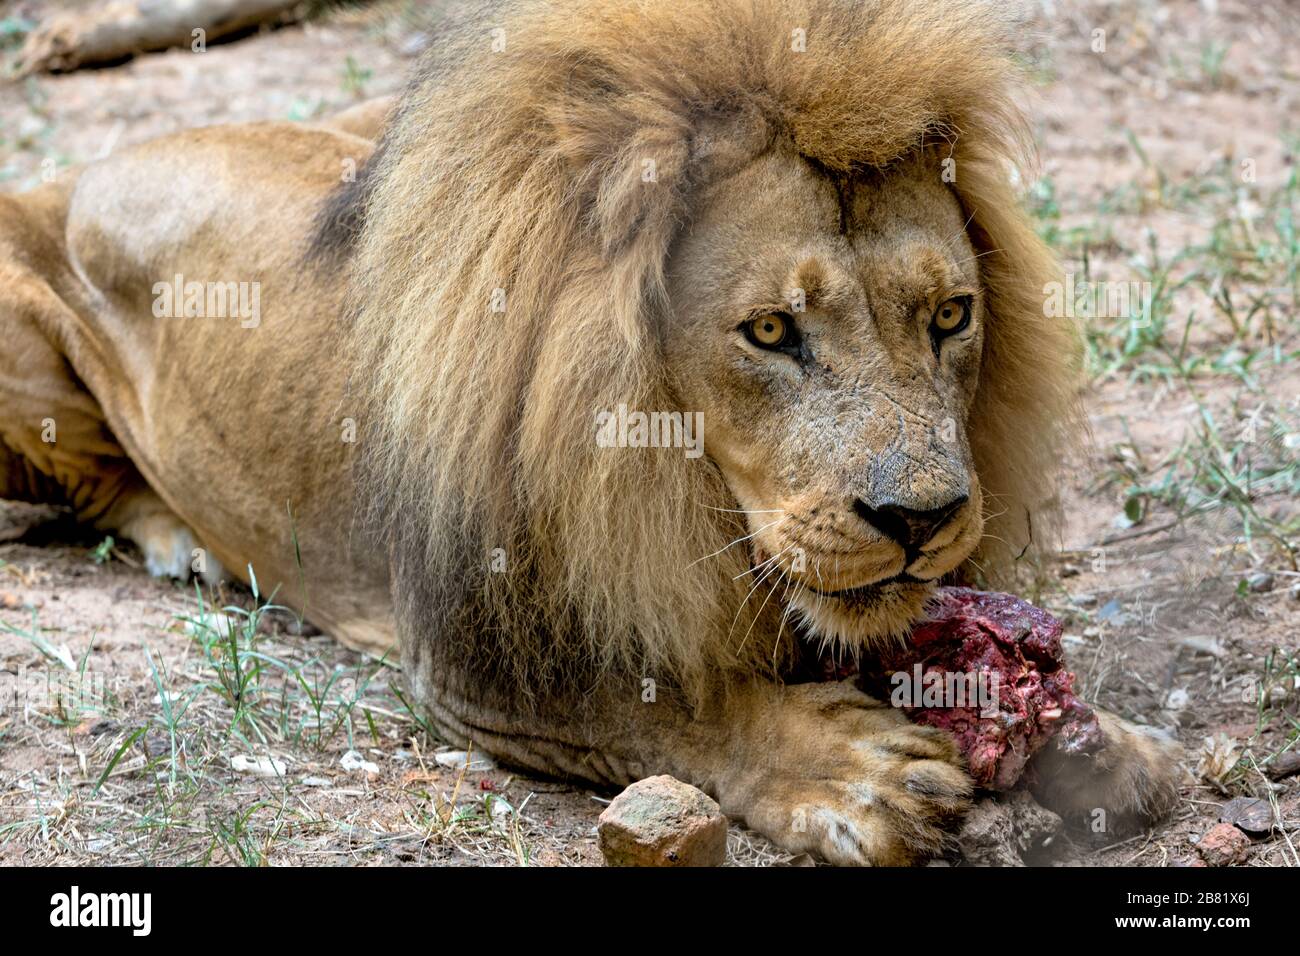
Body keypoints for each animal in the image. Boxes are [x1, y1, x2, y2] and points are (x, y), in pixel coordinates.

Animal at [0, 0, 1180, 868]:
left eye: (950, 316)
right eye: (770, 330)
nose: (923, 520)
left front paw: (1106, 739)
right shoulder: (474, 661)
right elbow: (674, 707)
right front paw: (851, 770)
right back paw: (180, 542)